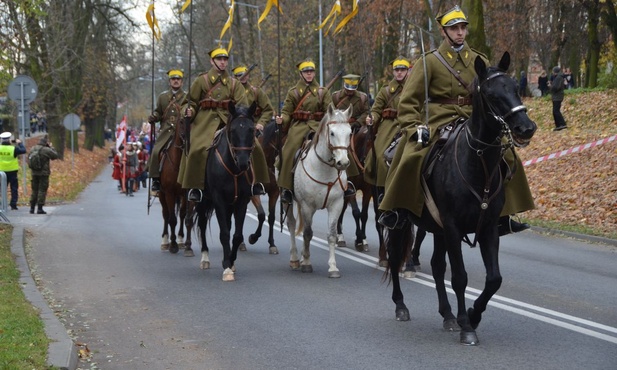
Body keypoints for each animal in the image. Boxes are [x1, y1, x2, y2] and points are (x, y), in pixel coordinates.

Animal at [195, 101, 258, 280]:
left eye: (252, 130)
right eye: (233, 130)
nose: (243, 162)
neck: (233, 169)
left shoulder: (242, 201)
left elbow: (236, 235)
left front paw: (231, 260)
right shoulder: (218, 200)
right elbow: (224, 233)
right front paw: (227, 267)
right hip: (203, 201)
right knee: (202, 224)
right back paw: (205, 258)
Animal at [286, 103, 348, 278]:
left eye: (350, 132)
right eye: (332, 133)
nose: (343, 162)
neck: (325, 170)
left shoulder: (336, 205)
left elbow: (332, 235)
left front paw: (333, 267)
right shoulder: (307, 206)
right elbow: (307, 233)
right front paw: (307, 263)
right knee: (292, 224)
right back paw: (295, 259)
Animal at [384, 51, 536, 344]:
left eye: (515, 88)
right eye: (491, 94)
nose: (526, 128)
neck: (477, 164)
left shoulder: (487, 227)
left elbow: (494, 278)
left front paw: (473, 315)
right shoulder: (453, 226)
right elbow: (460, 277)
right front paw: (467, 325)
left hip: (438, 229)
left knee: (436, 266)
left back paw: (447, 315)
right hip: (402, 222)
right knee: (395, 256)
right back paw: (400, 306)